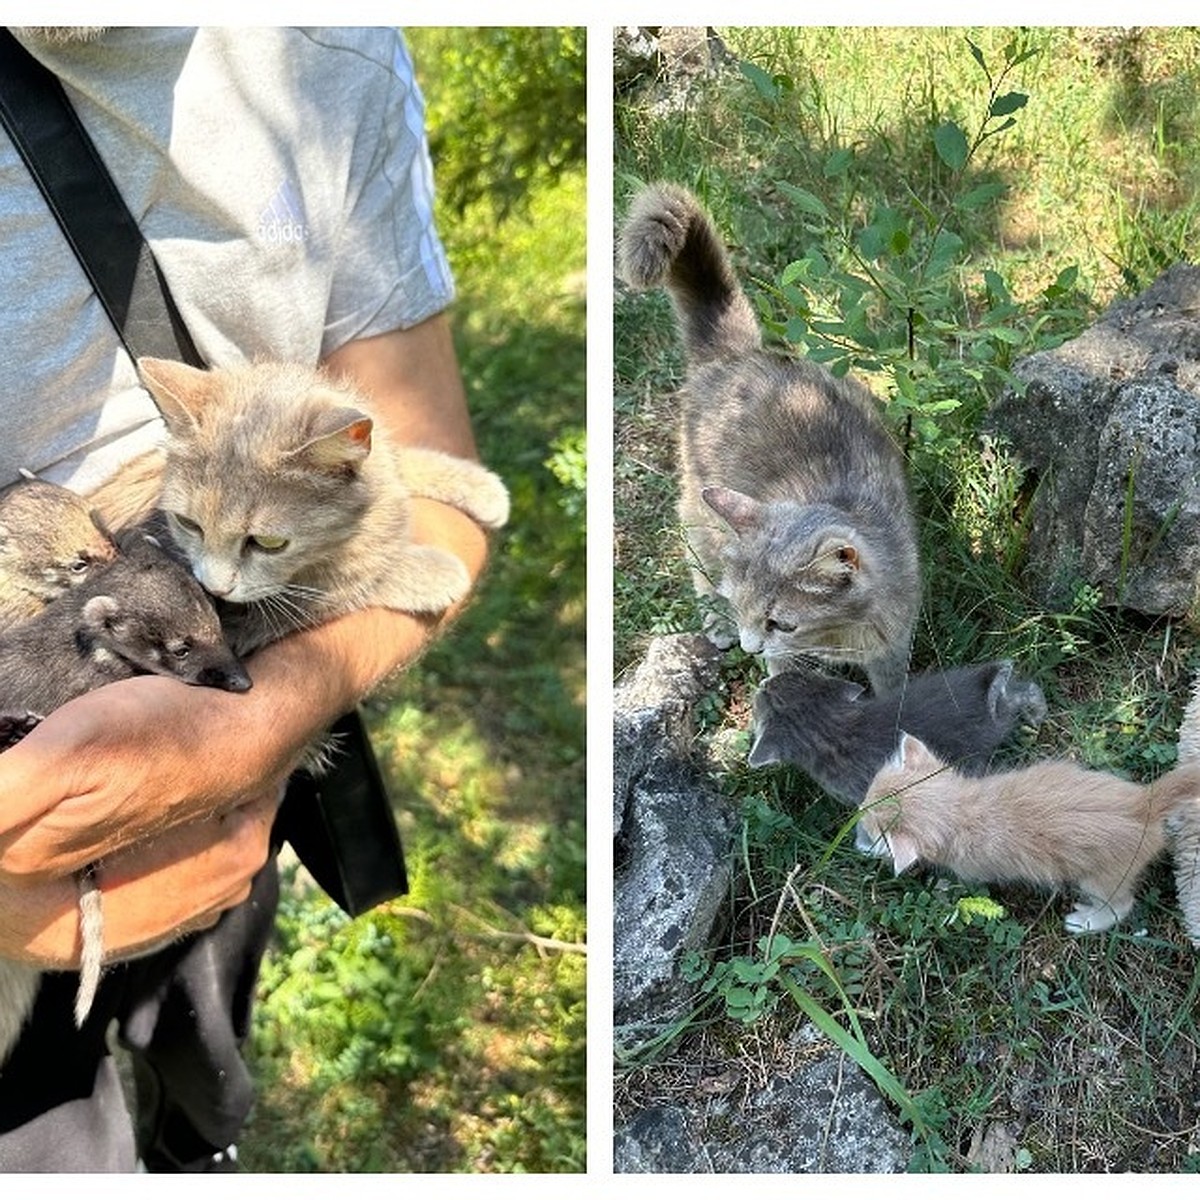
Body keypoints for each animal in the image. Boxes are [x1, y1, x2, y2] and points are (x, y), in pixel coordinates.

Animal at [619, 180, 916, 696]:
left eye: (781, 623)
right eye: (744, 609)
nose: (751, 646)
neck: (840, 636)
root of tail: (738, 354)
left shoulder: (894, 640)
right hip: (699, 508)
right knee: (697, 555)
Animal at [859, 729, 1200, 936]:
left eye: (870, 824)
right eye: (869, 791)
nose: (858, 807)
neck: (962, 807)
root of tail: (1143, 804)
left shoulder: (972, 871)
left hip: (1102, 879)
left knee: (1121, 906)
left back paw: (1086, 921)